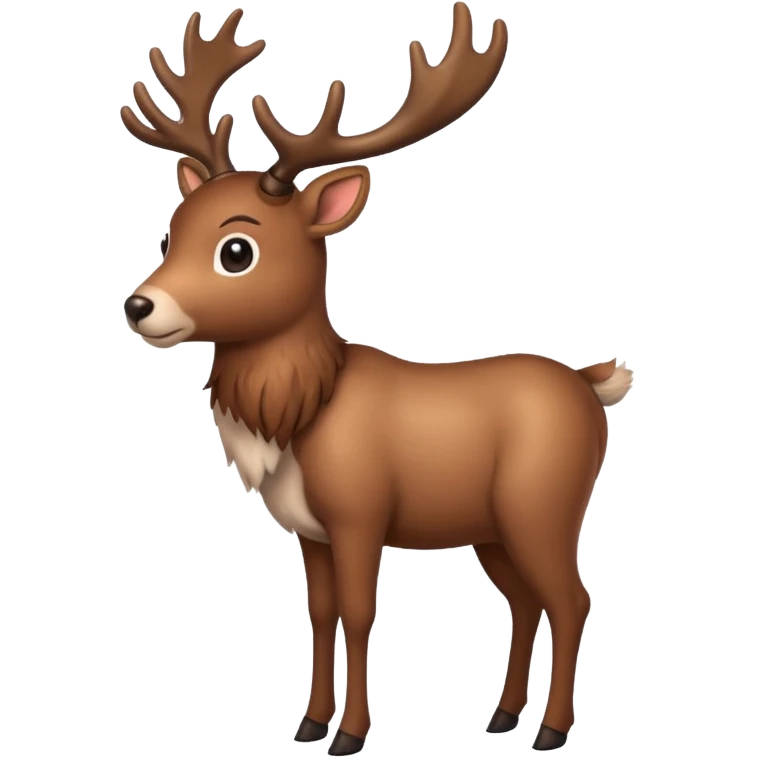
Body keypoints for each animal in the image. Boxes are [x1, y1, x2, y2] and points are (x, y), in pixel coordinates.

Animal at [120, 5, 632, 754]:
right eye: (170, 233)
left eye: (236, 249)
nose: (139, 306)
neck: (302, 413)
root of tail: (592, 386)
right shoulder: (310, 530)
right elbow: (321, 612)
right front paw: (308, 723)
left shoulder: (360, 513)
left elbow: (361, 613)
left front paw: (350, 733)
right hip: (490, 526)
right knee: (524, 599)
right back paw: (502, 715)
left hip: (544, 505)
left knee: (571, 598)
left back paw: (551, 729)